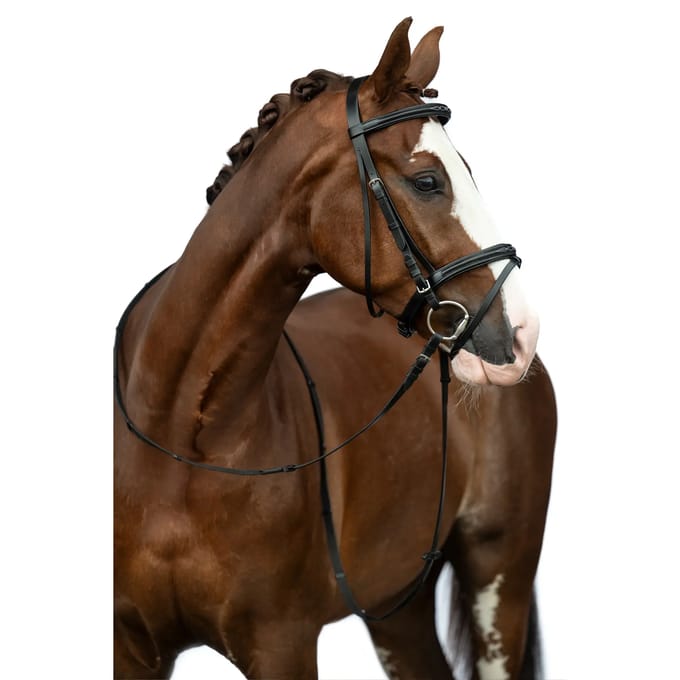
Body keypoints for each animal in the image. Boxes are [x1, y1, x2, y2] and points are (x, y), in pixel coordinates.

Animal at [114, 18, 556, 680]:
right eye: (429, 180)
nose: (520, 334)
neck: (183, 437)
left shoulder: (283, 643)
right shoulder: (133, 645)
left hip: (498, 577)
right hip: (397, 602)